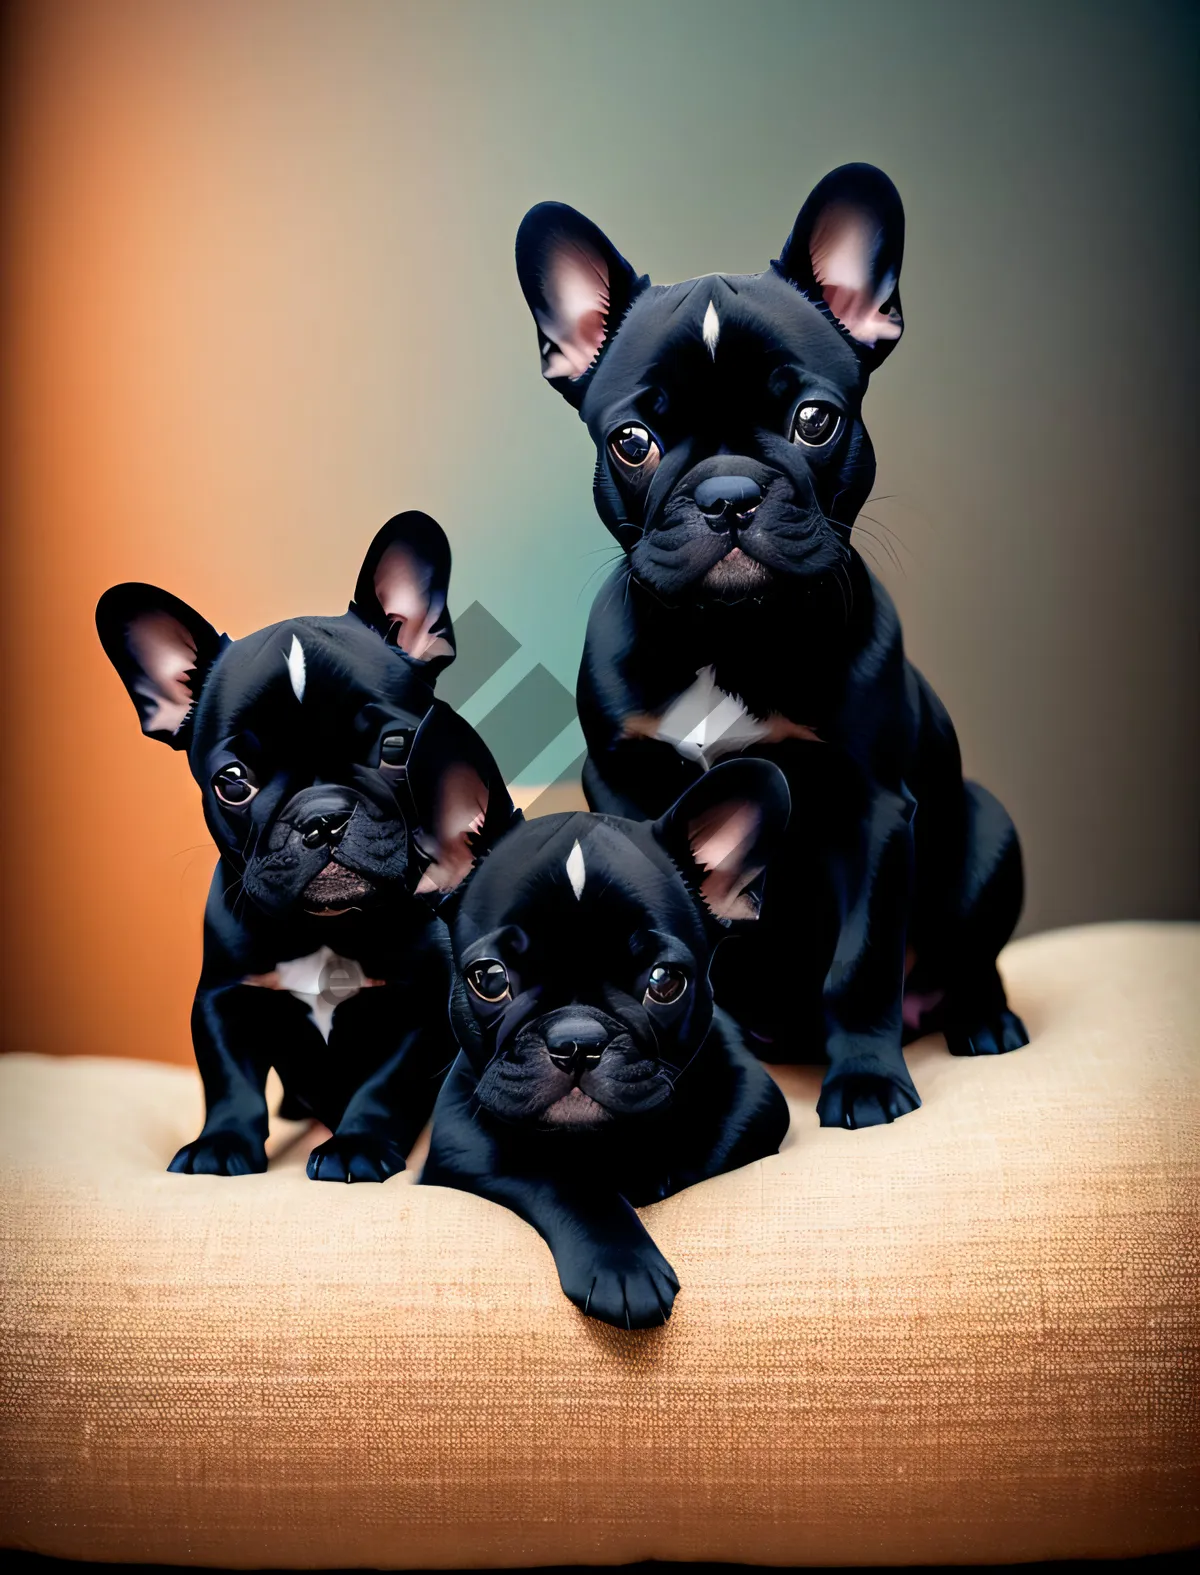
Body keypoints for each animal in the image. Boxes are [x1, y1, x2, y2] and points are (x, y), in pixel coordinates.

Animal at [94, 510, 503, 1178]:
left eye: (396, 748)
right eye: (233, 780)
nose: (322, 817)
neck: (325, 931)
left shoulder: (422, 1010)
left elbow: (386, 1084)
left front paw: (357, 1145)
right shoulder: (225, 998)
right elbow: (229, 1080)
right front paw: (220, 1143)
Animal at [415, 746, 790, 1329]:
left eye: (664, 981)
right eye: (490, 978)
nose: (577, 1041)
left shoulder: (754, 1108)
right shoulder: (465, 1148)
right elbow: (559, 1175)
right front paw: (622, 1266)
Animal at [513, 163, 1026, 1134]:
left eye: (815, 420)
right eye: (632, 441)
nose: (727, 493)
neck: (730, 632)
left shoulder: (873, 810)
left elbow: (861, 962)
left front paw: (867, 1081)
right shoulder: (626, 784)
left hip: (988, 831)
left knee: (967, 956)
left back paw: (982, 1018)